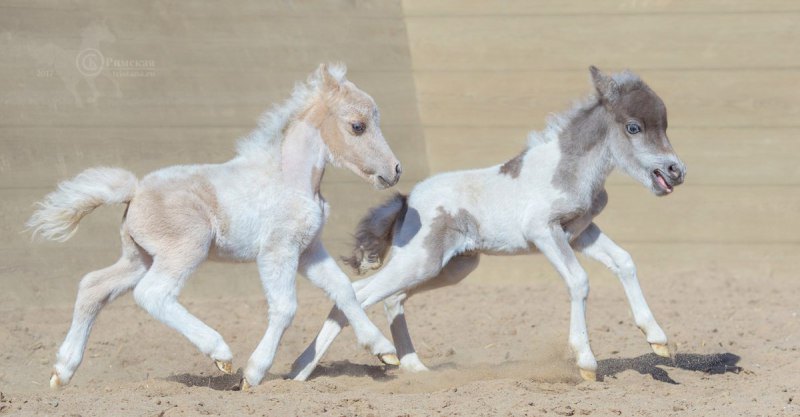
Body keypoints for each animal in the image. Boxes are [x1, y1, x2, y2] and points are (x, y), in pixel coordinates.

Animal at [28, 63, 404, 388]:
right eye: (357, 125)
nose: (395, 170)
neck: (290, 178)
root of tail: (134, 191)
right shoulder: (277, 250)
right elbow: (285, 308)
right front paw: (253, 374)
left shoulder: (309, 250)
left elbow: (344, 290)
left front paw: (384, 351)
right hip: (184, 250)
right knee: (152, 294)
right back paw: (220, 353)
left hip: (140, 257)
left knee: (93, 287)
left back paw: (62, 372)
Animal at [292, 66, 688, 382]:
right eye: (633, 127)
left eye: (665, 124)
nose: (676, 171)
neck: (568, 170)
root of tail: (406, 202)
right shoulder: (544, 232)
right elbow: (579, 280)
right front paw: (586, 362)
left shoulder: (580, 233)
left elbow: (624, 261)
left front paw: (658, 340)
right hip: (420, 262)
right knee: (358, 294)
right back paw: (307, 370)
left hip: (449, 268)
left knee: (391, 299)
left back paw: (413, 368)